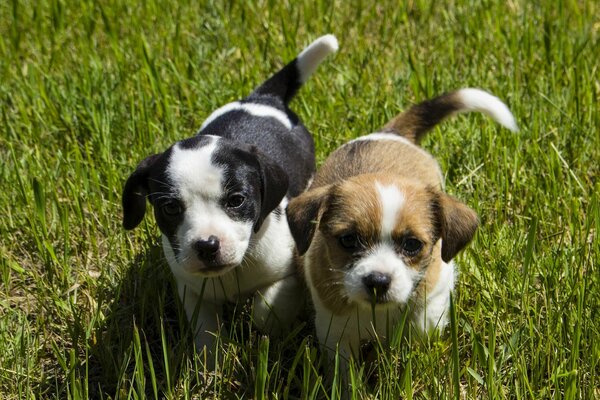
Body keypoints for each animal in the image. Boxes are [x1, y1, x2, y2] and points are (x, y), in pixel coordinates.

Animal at [122, 34, 338, 354]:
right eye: (170, 208)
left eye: (236, 200)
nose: (207, 246)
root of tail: (263, 100)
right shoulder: (192, 289)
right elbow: (206, 331)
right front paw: (210, 360)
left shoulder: (287, 276)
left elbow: (266, 310)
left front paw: (267, 332)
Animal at [284, 86, 516, 360]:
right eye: (348, 240)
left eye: (412, 244)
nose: (378, 281)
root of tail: (388, 134)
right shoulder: (335, 331)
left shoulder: (436, 292)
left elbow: (422, 328)